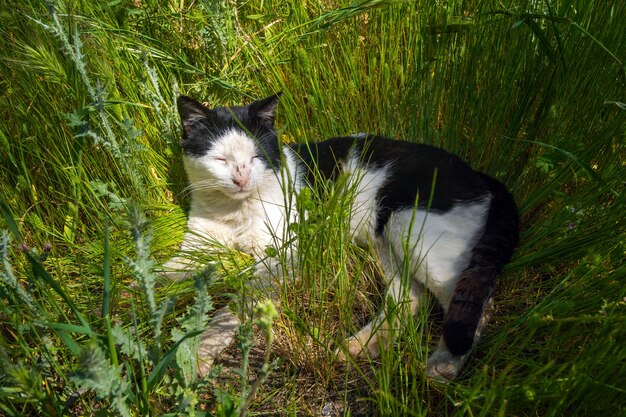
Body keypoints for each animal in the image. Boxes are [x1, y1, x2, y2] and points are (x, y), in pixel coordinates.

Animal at [165, 94, 516, 380]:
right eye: (221, 159)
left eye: (256, 157)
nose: (241, 178)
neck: (234, 211)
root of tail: (478, 174)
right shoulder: (195, 246)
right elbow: (164, 274)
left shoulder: (281, 258)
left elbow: (232, 308)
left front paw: (199, 351)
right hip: (385, 241)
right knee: (408, 299)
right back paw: (358, 347)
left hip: (413, 229)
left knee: (476, 302)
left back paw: (444, 363)